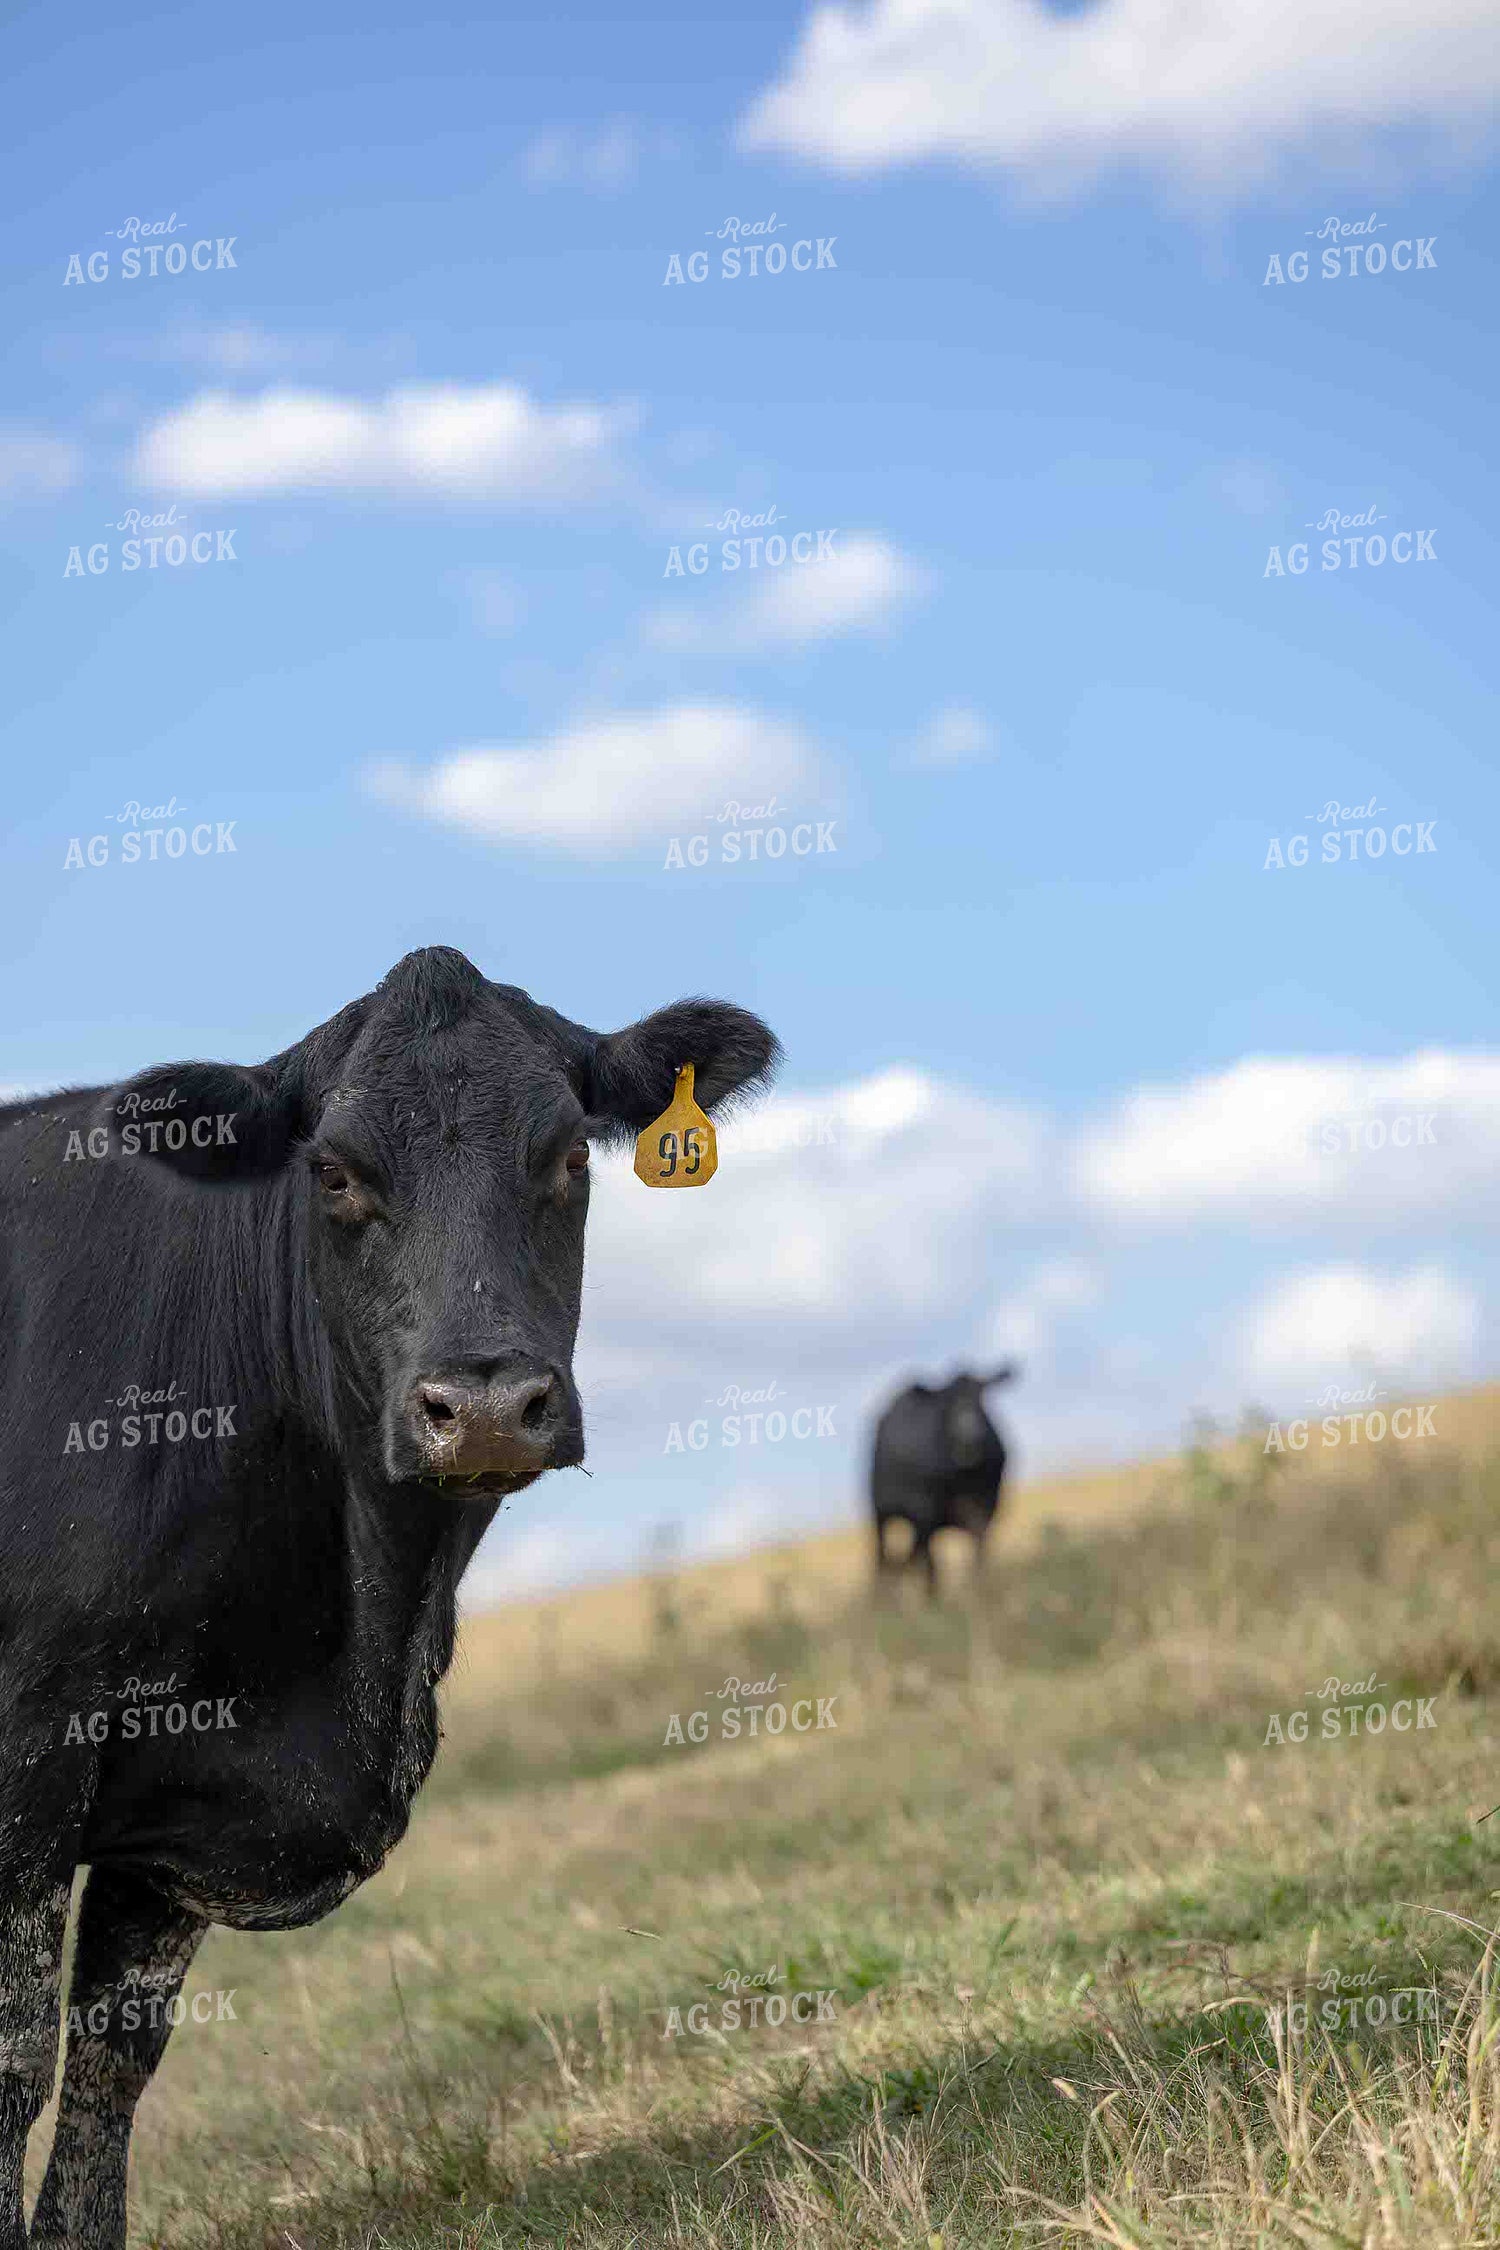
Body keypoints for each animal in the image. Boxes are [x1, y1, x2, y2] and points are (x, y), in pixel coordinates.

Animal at [0, 946, 777, 2250]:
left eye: (570, 1157)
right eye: (335, 1172)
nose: (486, 1404)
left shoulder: (178, 1787)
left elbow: (111, 2063)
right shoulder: (28, 1754)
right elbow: (14, 2062)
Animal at [870, 1365, 1018, 1595]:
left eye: (982, 1396)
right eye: (947, 1402)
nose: (969, 1436)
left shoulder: (987, 1506)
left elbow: (979, 1552)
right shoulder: (924, 1511)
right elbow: (929, 1565)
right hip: (882, 1513)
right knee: (885, 1558)